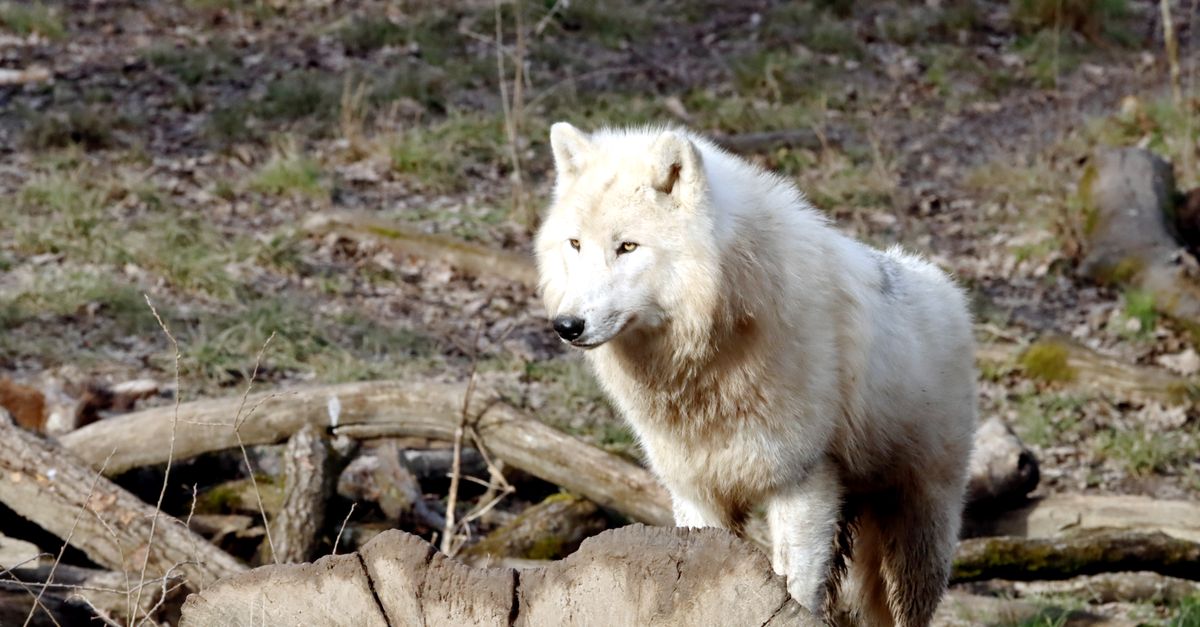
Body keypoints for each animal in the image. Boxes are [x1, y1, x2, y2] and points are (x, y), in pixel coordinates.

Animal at [534, 123, 977, 626]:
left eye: (627, 246)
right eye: (575, 244)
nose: (567, 325)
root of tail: (947, 288)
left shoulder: (802, 482)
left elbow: (795, 589)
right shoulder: (695, 492)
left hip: (916, 536)